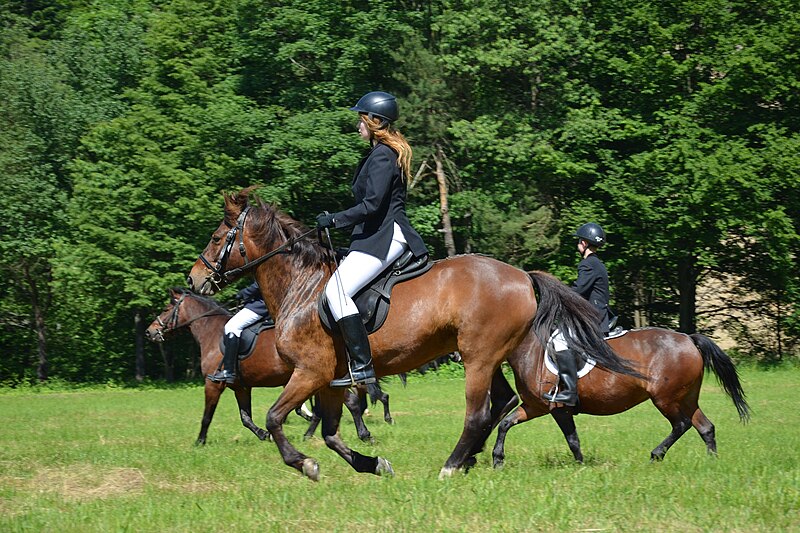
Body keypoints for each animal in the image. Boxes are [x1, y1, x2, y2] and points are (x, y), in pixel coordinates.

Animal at [148, 286, 390, 444]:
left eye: (167, 308)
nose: (150, 332)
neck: (212, 332)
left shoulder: (213, 384)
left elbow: (207, 415)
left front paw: (199, 441)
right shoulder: (241, 387)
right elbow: (245, 418)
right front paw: (264, 434)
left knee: (350, 403)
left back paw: (360, 434)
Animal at [184, 188, 640, 482]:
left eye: (217, 236)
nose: (194, 278)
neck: (302, 286)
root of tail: (522, 275)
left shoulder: (310, 372)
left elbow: (275, 417)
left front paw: (304, 464)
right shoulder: (328, 379)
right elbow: (330, 433)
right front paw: (372, 464)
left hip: (478, 356)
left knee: (479, 412)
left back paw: (452, 465)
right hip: (493, 355)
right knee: (505, 401)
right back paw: (472, 458)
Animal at [494, 316, 752, 466]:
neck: (532, 349)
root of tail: (688, 339)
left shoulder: (558, 407)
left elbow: (572, 440)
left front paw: (581, 466)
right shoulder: (535, 406)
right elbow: (506, 423)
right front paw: (498, 459)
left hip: (665, 399)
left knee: (682, 424)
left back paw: (656, 455)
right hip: (686, 398)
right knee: (705, 427)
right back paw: (712, 463)